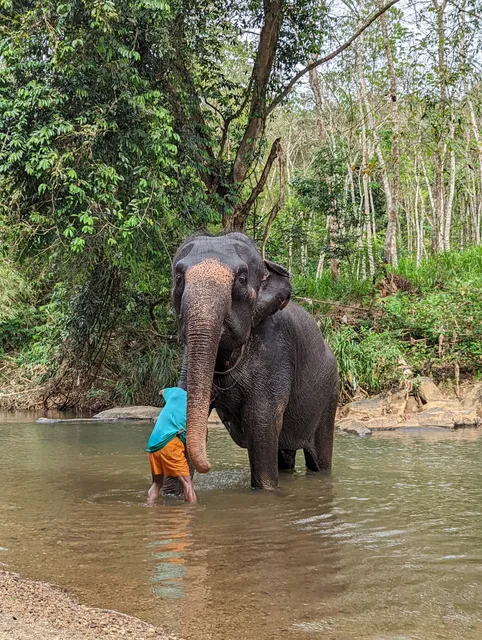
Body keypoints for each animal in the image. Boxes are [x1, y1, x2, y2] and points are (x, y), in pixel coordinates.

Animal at [172, 231, 339, 490]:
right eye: (179, 278)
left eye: (241, 279)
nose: (207, 466)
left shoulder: (275, 352)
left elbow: (260, 422)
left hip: (330, 396)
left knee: (319, 459)